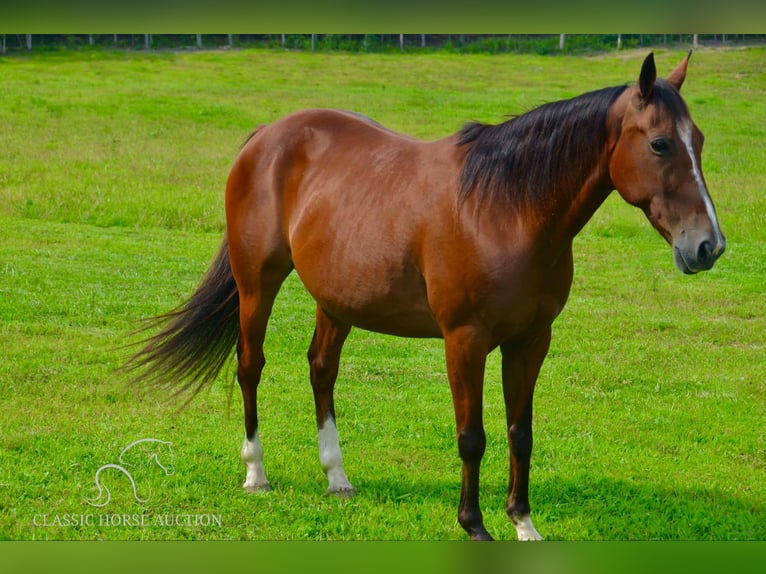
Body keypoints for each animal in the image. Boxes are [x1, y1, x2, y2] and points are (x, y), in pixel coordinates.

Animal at [126, 51, 728, 544]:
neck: (506, 209)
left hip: (336, 299)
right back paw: (256, 471)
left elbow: (521, 432)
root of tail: (266, 136)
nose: (709, 246)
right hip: (258, 283)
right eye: (659, 143)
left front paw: (523, 521)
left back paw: (336, 477)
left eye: (699, 140)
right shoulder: (465, 340)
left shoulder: (531, 341)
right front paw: (474, 525)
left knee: (321, 369)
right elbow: (472, 436)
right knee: (250, 365)